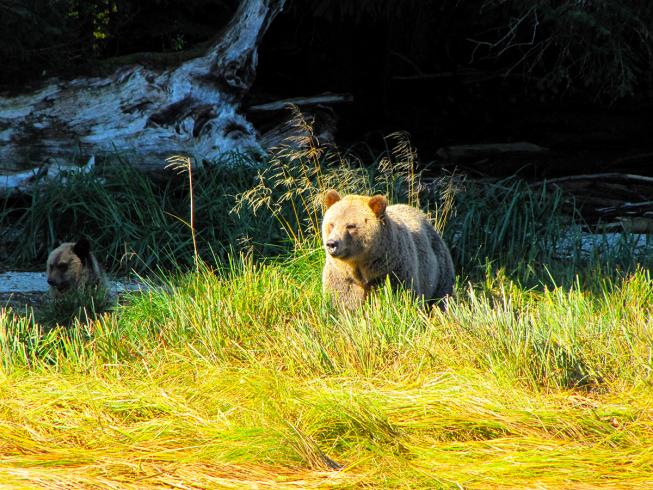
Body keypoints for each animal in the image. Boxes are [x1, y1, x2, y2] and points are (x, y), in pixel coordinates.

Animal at [321, 190, 454, 310]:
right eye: (332, 224)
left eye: (350, 226)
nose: (332, 243)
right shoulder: (343, 276)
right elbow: (342, 300)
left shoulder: (393, 271)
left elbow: (402, 295)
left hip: (439, 267)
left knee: (442, 296)